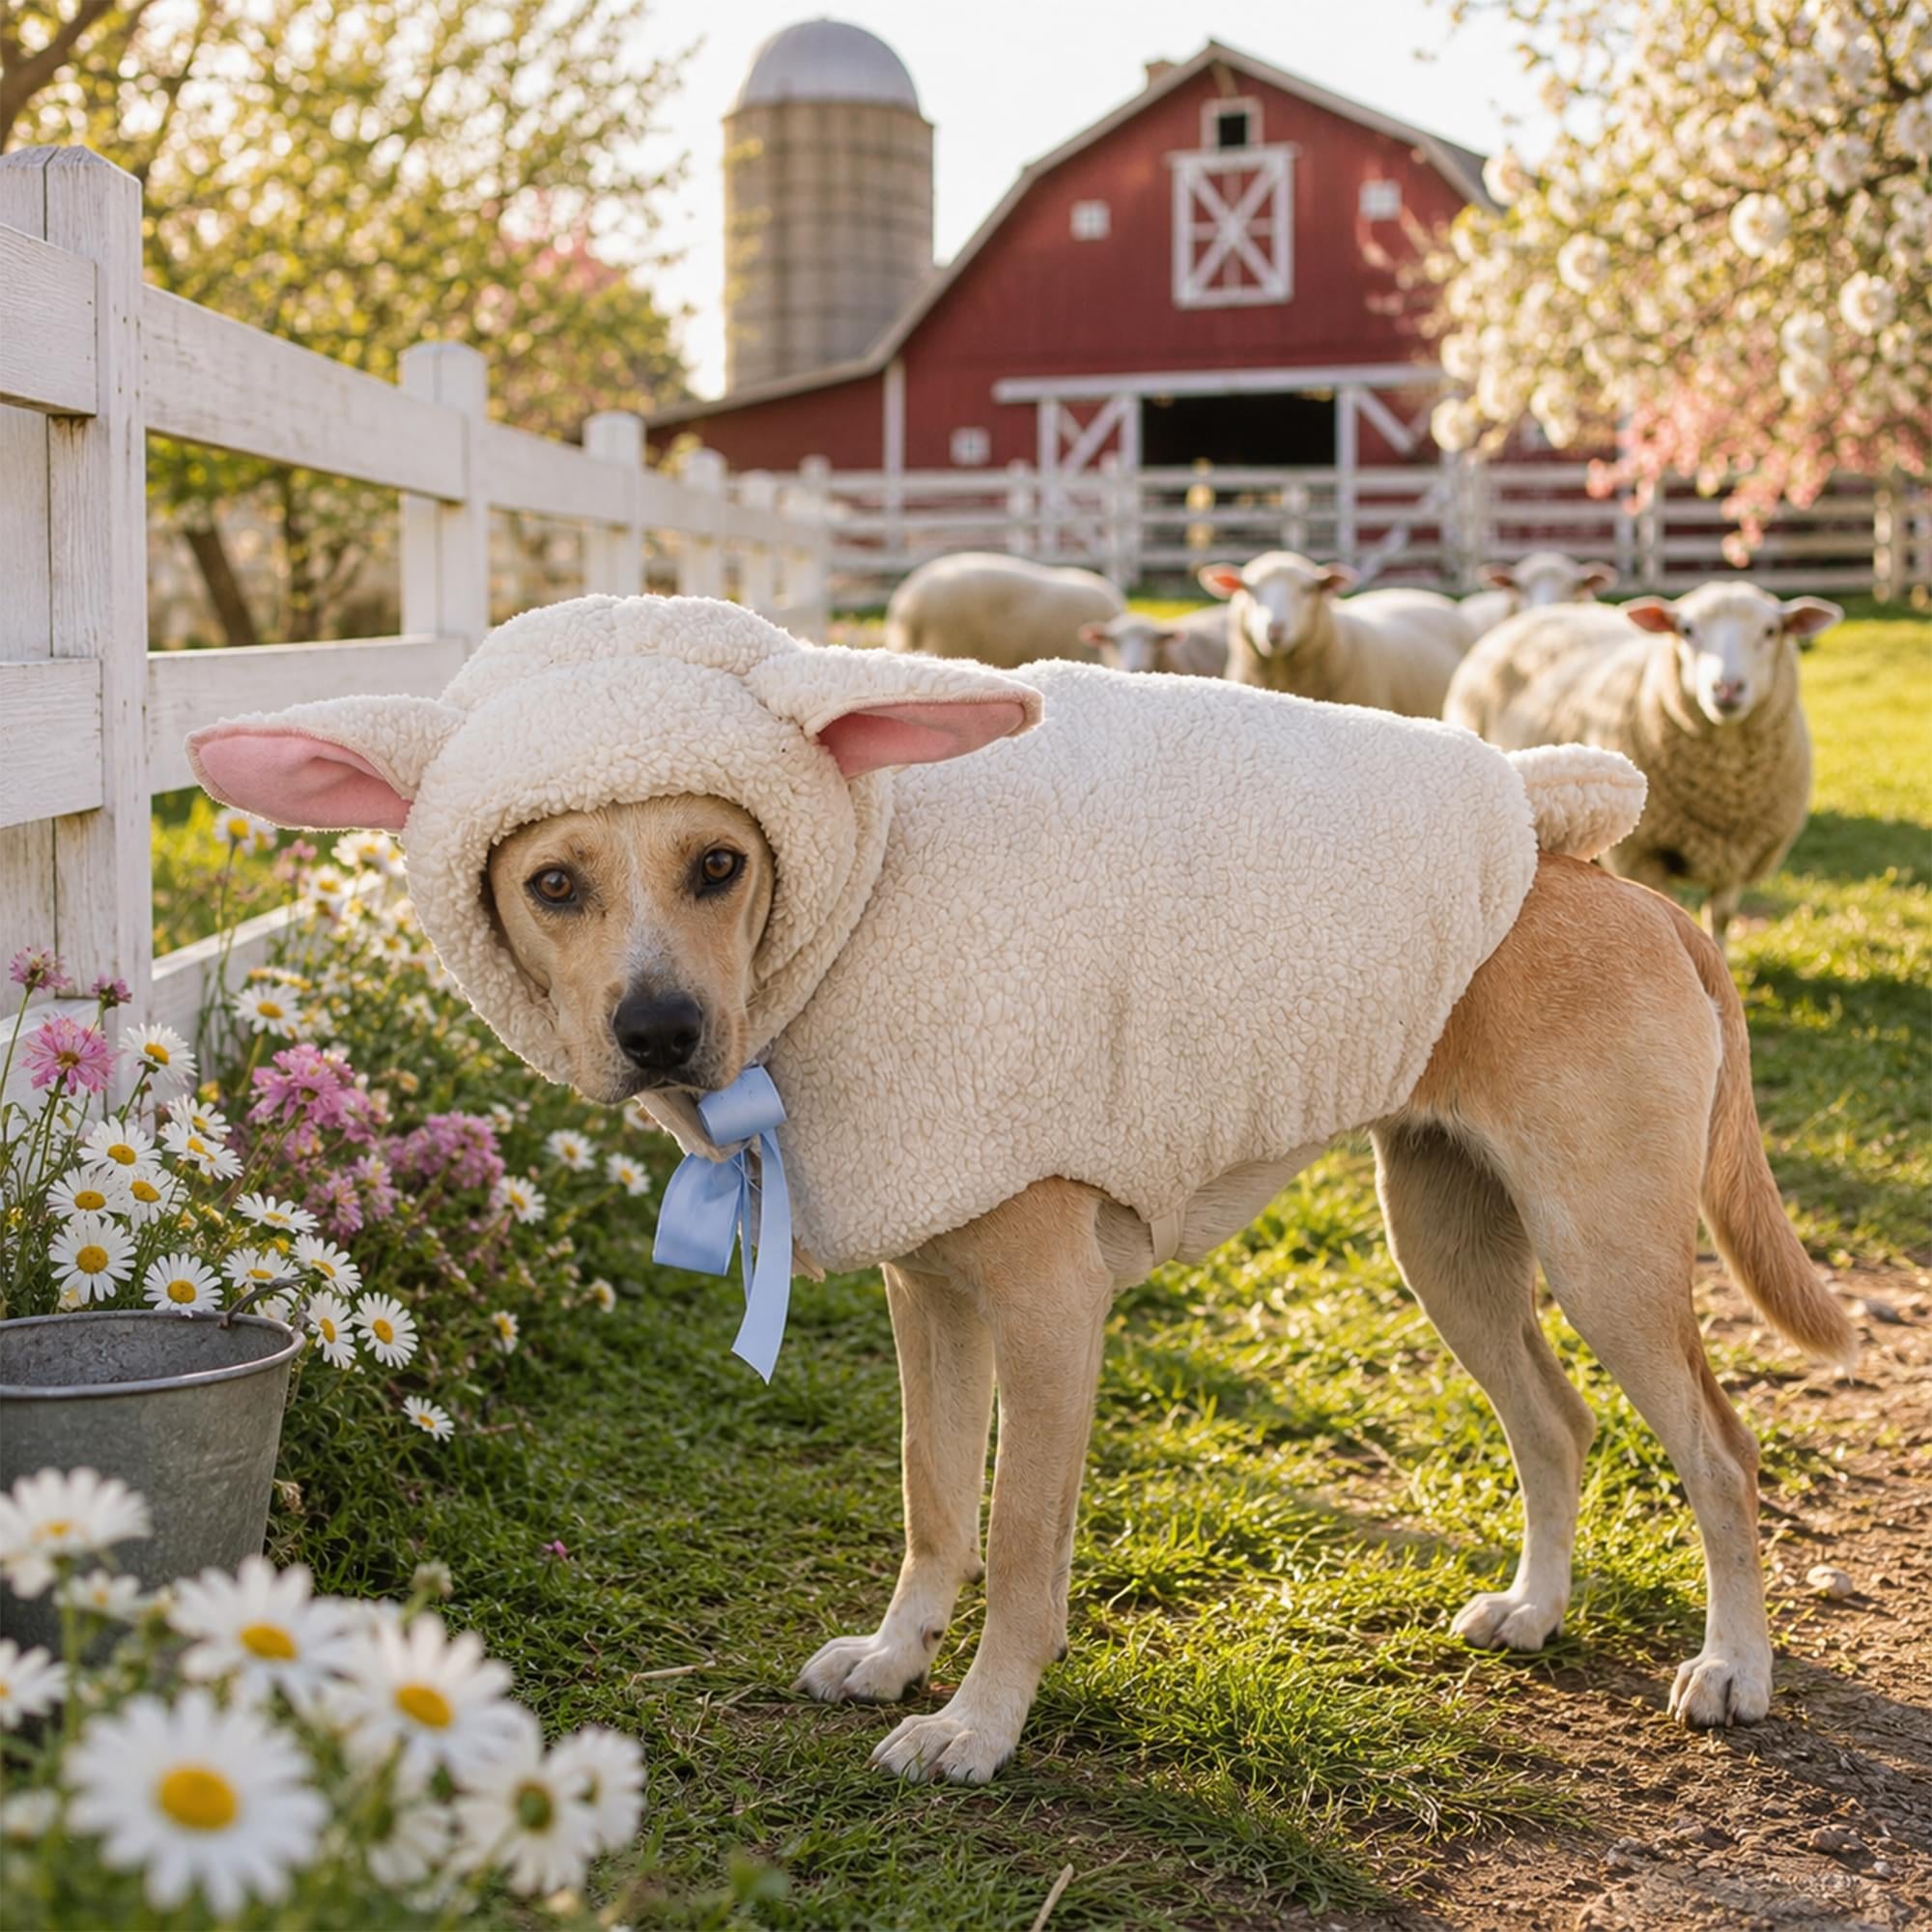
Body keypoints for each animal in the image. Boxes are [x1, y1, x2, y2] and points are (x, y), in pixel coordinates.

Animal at [1443, 580, 1841, 946]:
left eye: (1771, 631)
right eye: (1687, 630)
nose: (1727, 688)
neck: (1725, 786)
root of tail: (1545, 612)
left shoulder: (1739, 853)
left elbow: (1722, 919)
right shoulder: (1642, 854)